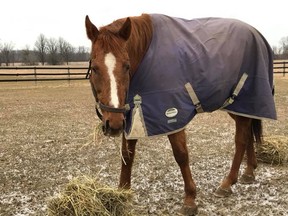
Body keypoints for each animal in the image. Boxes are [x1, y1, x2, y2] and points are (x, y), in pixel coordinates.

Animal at [84, 14, 276, 215]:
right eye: (95, 68)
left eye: (126, 66)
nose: (113, 124)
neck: (146, 54)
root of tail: (256, 34)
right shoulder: (131, 116)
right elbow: (127, 155)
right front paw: (122, 194)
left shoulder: (172, 114)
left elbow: (181, 155)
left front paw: (190, 200)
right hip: (238, 107)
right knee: (247, 134)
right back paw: (249, 172)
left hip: (245, 101)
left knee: (240, 140)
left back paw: (227, 183)